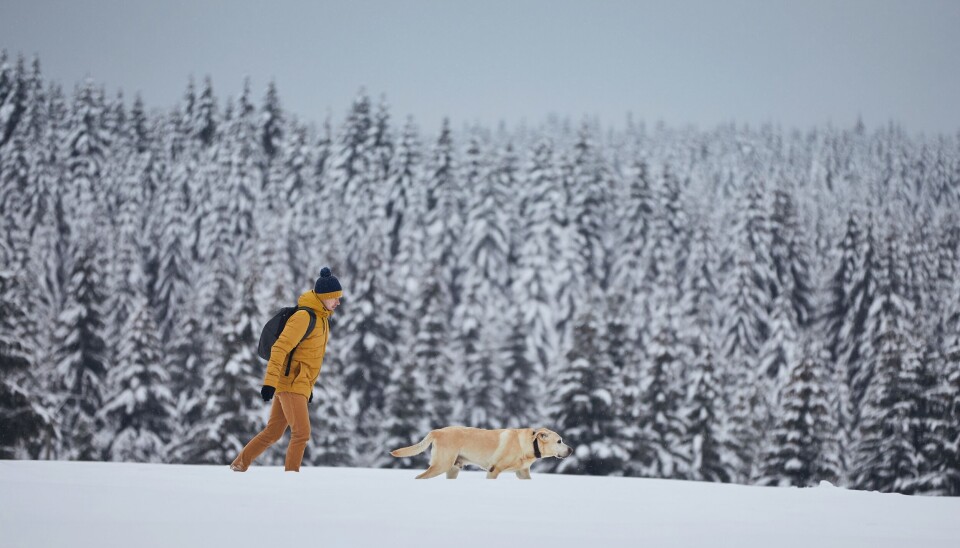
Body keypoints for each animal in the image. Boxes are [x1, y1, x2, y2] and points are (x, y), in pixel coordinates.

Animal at [388, 426, 568, 478]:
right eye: (559, 441)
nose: (571, 449)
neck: (529, 445)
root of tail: (437, 431)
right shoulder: (494, 470)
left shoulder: (522, 473)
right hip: (441, 465)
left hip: (452, 469)